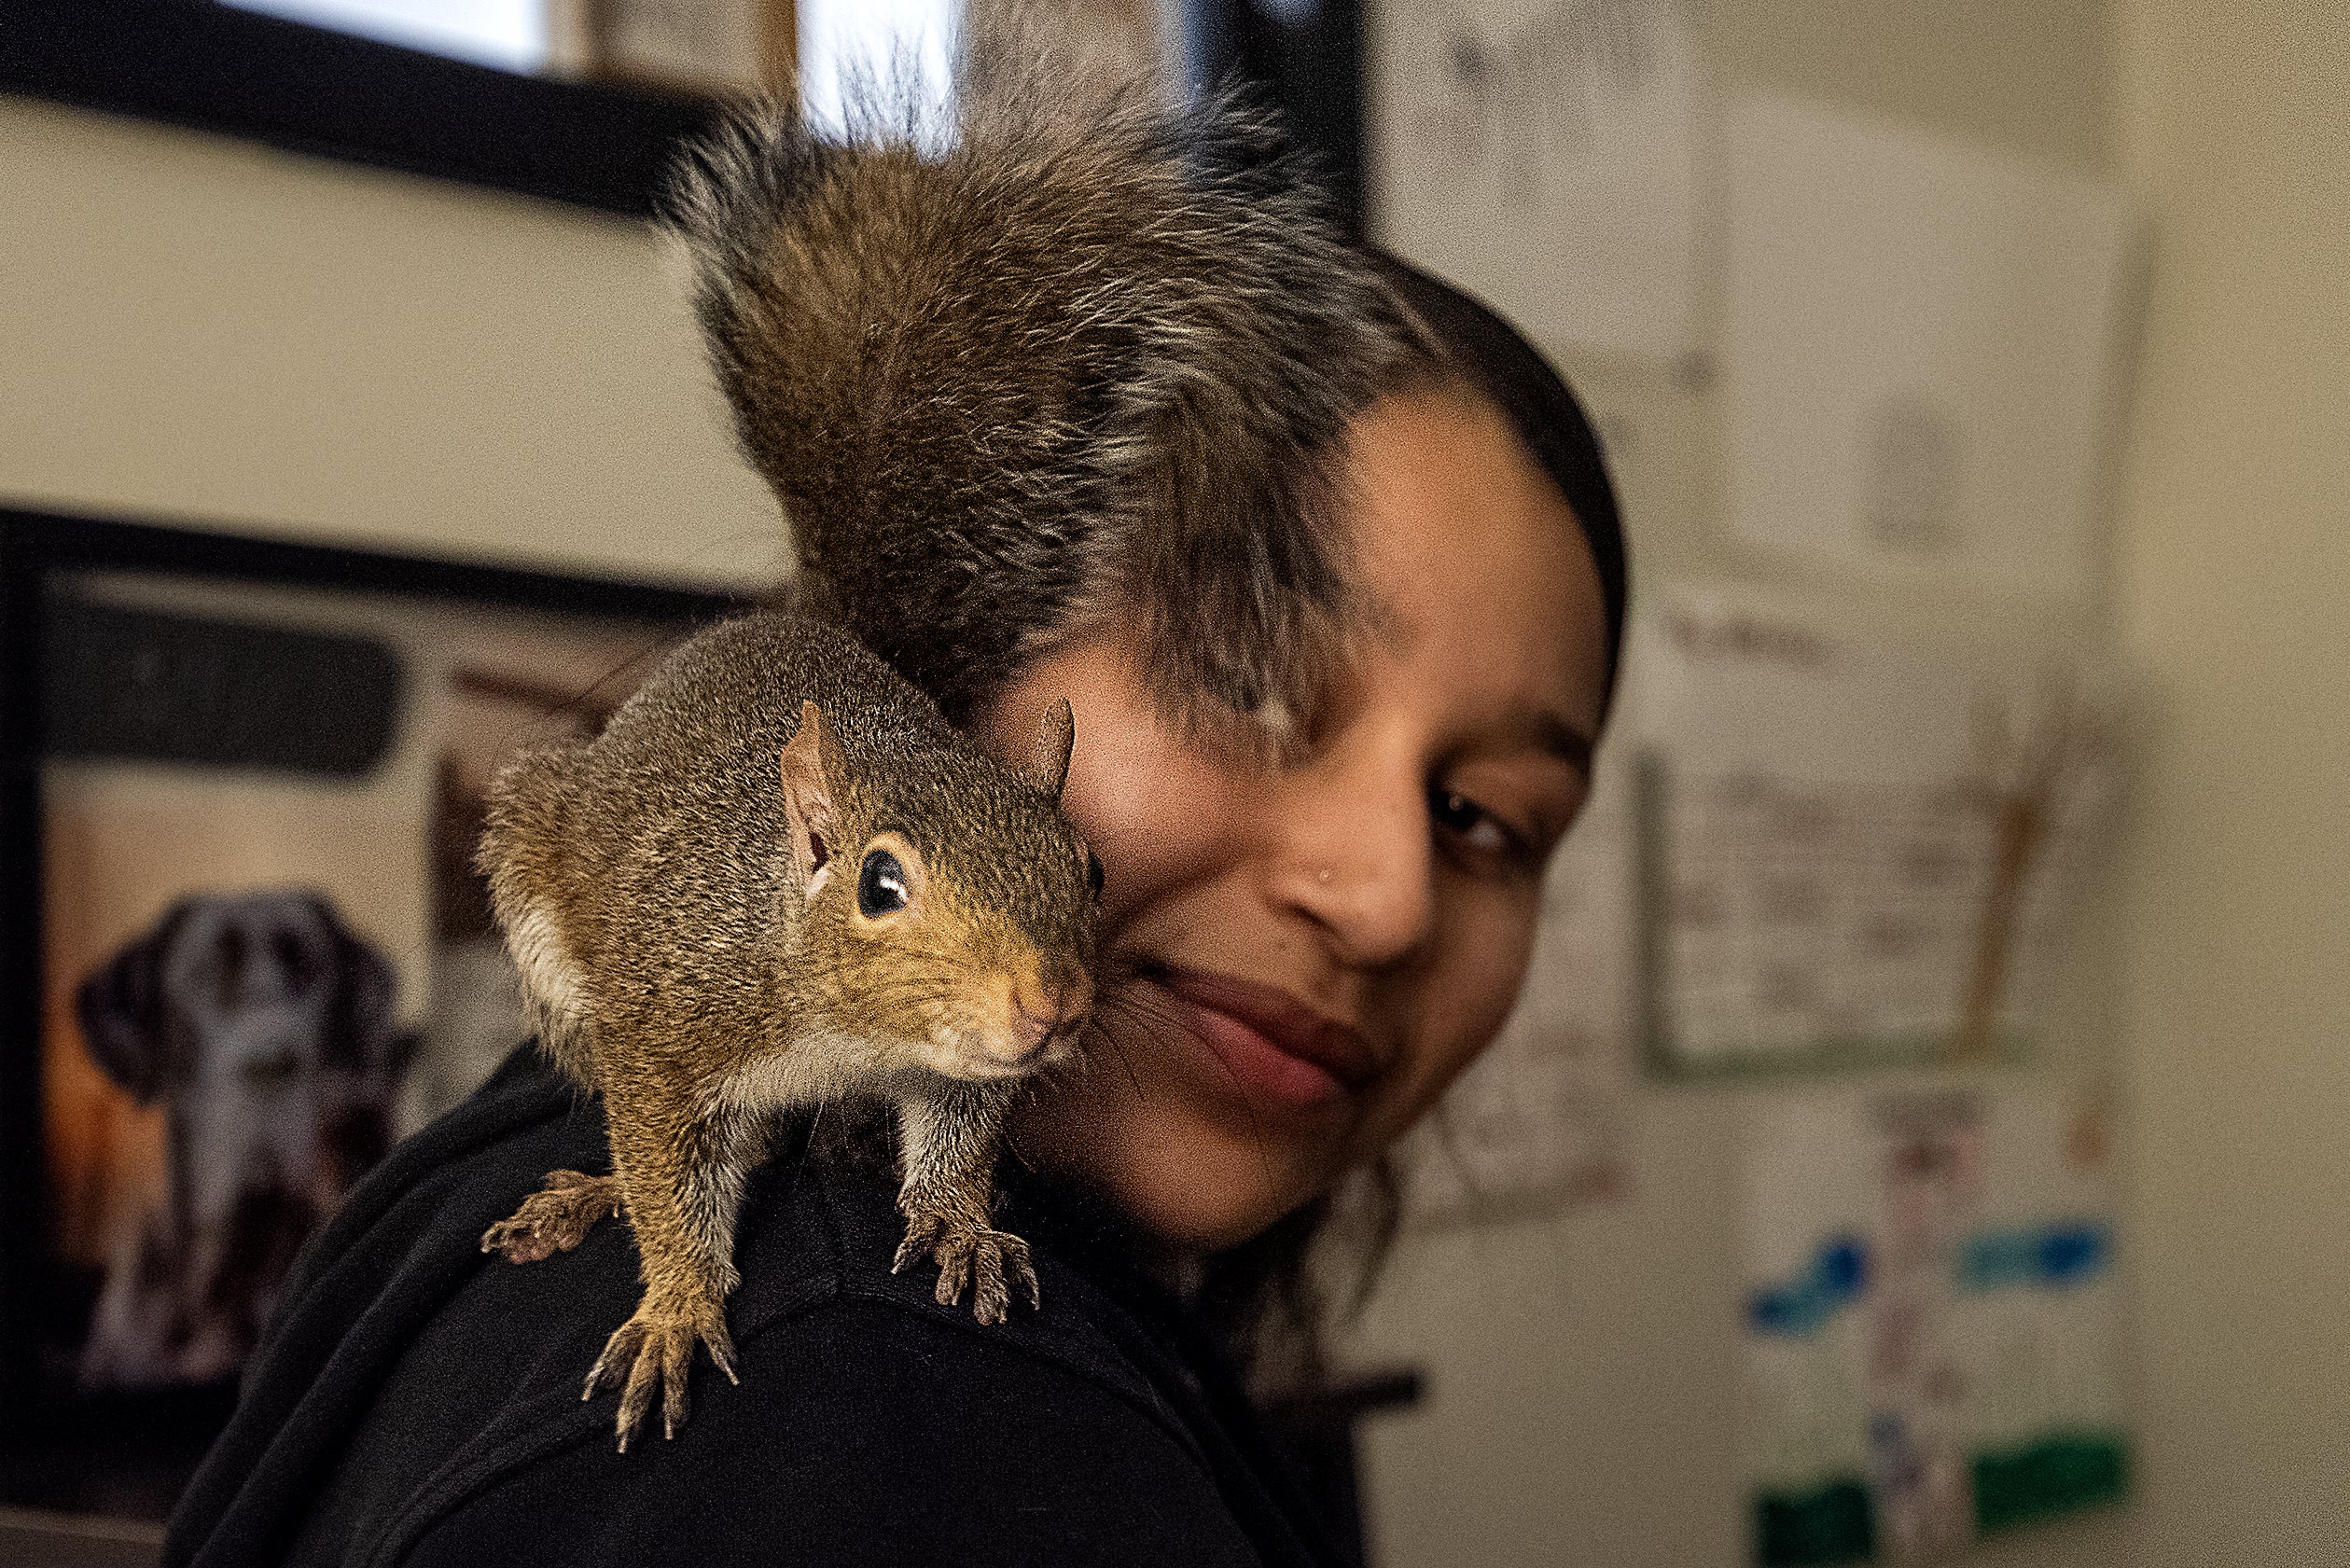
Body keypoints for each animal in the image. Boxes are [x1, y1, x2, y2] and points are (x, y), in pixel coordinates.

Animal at [481, 611, 1104, 1448]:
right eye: (878, 883)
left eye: (1092, 871)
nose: (1054, 1004)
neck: (854, 1038)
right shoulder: (659, 1021)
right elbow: (658, 1162)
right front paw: (678, 1303)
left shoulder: (965, 1067)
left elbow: (960, 1130)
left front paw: (957, 1217)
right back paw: (590, 1194)